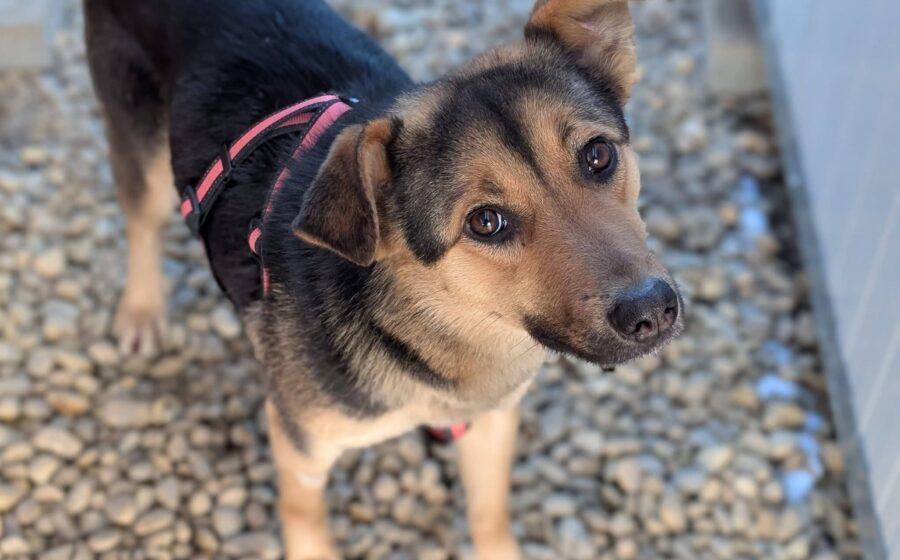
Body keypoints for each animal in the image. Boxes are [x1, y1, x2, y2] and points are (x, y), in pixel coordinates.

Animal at [84, 0, 683, 557]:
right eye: (485, 222)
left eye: (598, 155)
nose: (652, 311)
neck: (440, 324)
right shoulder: (300, 441)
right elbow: (304, 520)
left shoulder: (490, 420)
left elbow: (489, 515)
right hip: (140, 142)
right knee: (141, 221)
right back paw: (141, 310)